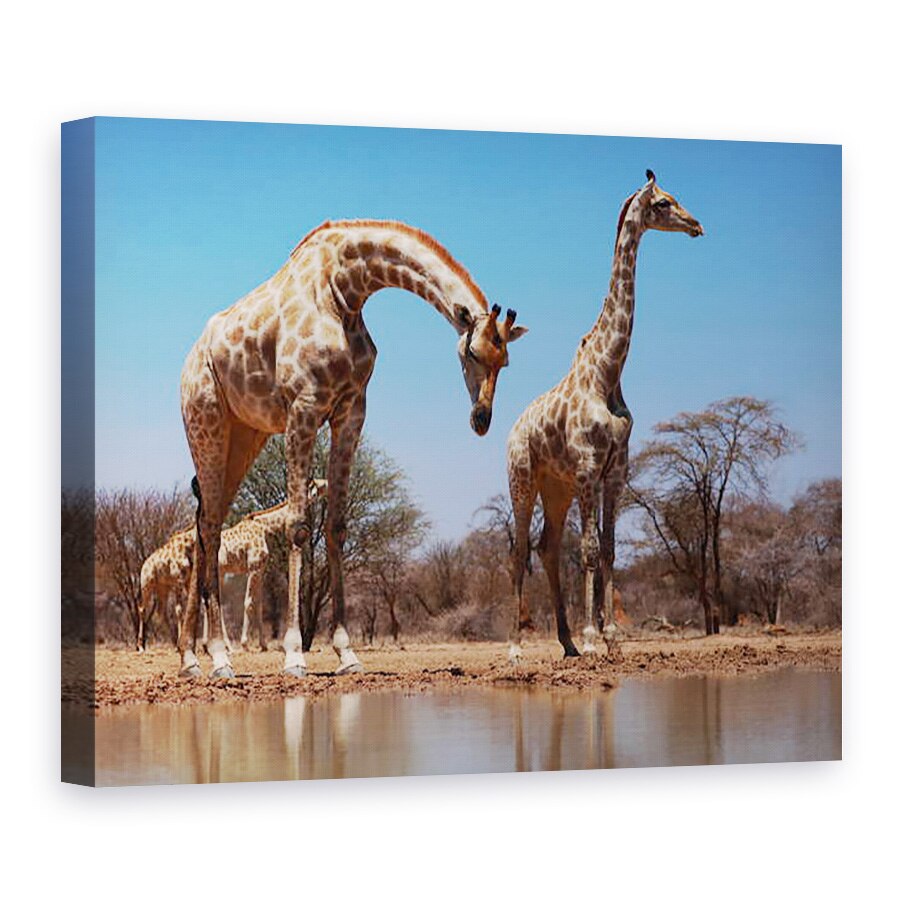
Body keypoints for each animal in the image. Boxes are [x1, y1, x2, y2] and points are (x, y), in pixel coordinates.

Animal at [179, 220, 528, 678]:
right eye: (471, 351)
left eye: (505, 363)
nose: (481, 420)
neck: (344, 289)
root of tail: (189, 361)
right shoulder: (304, 407)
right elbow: (298, 525)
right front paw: (294, 654)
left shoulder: (351, 411)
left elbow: (338, 526)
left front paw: (346, 653)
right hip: (207, 427)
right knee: (209, 528)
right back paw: (218, 657)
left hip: (244, 437)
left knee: (207, 523)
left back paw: (191, 659)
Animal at [505, 171, 702, 662]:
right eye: (664, 203)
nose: (696, 225)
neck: (607, 371)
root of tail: (512, 430)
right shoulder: (588, 467)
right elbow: (591, 550)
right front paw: (597, 636)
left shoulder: (615, 471)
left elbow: (610, 550)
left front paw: (611, 636)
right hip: (523, 478)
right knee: (519, 550)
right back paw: (517, 647)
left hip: (556, 488)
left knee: (546, 547)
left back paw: (567, 642)